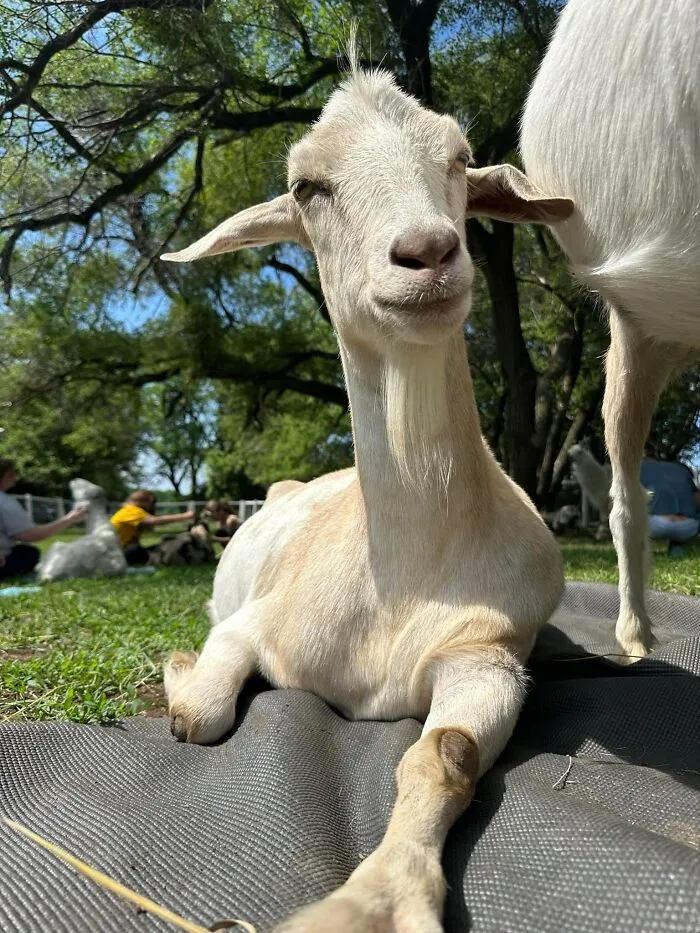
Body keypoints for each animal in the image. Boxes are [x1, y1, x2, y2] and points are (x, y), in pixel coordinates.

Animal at [160, 59, 569, 933]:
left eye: (459, 155)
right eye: (306, 184)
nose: (427, 251)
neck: (400, 576)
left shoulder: (487, 653)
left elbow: (444, 754)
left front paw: (375, 897)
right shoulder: (254, 623)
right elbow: (202, 714)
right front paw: (178, 675)